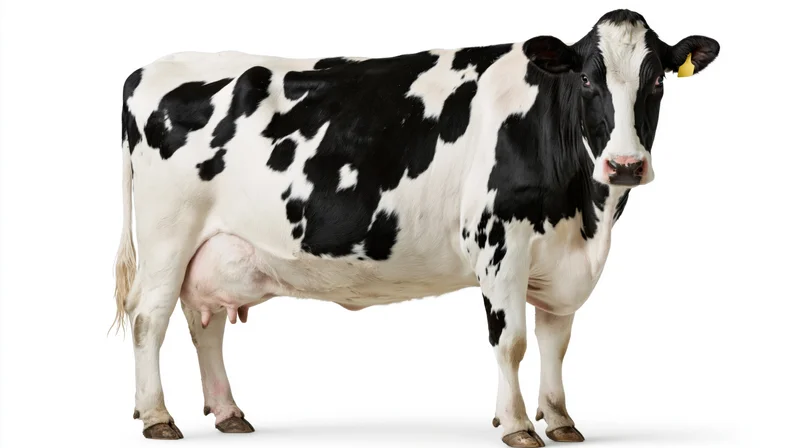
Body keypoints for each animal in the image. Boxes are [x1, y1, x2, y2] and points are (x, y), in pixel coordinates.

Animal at [111, 9, 719, 446]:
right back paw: (158, 417)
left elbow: (556, 343)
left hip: (215, 249)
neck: (587, 215)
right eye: (588, 80)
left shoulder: (561, 259)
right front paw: (518, 424)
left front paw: (561, 419)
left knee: (205, 322)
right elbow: (513, 343)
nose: (625, 165)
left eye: (657, 80)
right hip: (167, 235)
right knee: (149, 318)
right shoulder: (500, 242)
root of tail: (148, 69)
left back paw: (228, 412)